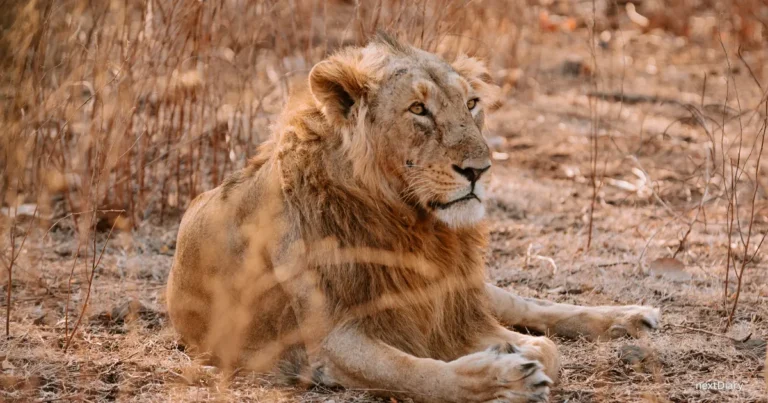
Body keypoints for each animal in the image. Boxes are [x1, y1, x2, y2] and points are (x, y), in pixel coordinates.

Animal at [165, 34, 661, 403]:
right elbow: (415, 372)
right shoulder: (332, 340)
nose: (480, 169)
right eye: (419, 109)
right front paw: (501, 378)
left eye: (472, 103)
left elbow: (543, 347)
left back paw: (631, 316)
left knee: (527, 304)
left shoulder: (444, 301)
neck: (412, 223)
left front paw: (513, 352)